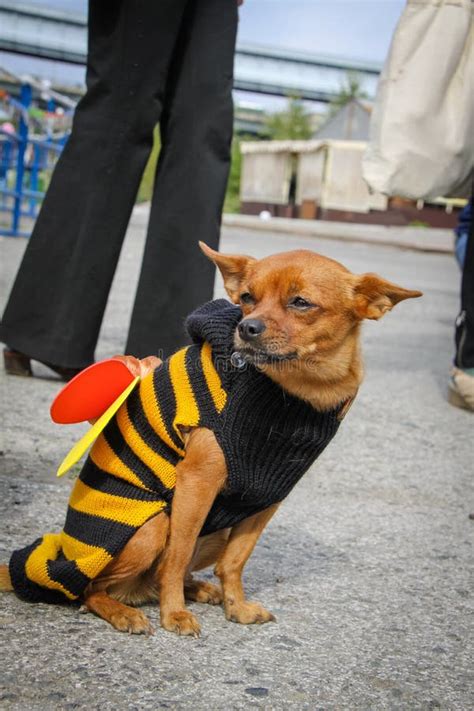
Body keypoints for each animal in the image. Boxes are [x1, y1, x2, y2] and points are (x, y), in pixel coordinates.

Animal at [0, 242, 422, 636]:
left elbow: (235, 561)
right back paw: (125, 612)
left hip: (213, 533)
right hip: (152, 527)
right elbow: (176, 555)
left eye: (301, 302)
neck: (298, 392)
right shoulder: (198, 484)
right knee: (93, 589)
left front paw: (237, 607)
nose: (247, 327)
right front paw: (173, 615)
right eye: (247, 298)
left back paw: (199, 590)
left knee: (162, 576)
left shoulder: (267, 496)